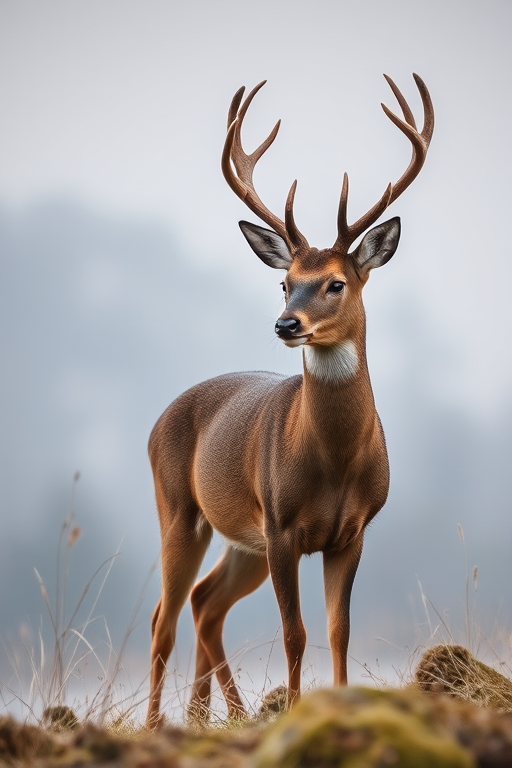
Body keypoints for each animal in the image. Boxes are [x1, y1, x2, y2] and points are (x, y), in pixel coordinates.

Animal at [146, 73, 434, 728]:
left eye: (336, 283)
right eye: (284, 281)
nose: (285, 323)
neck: (335, 463)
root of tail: (159, 418)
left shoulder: (352, 530)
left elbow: (338, 630)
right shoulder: (280, 525)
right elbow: (294, 632)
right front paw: (299, 710)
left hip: (239, 537)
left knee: (204, 604)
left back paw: (213, 714)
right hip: (180, 508)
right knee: (164, 618)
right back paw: (157, 724)